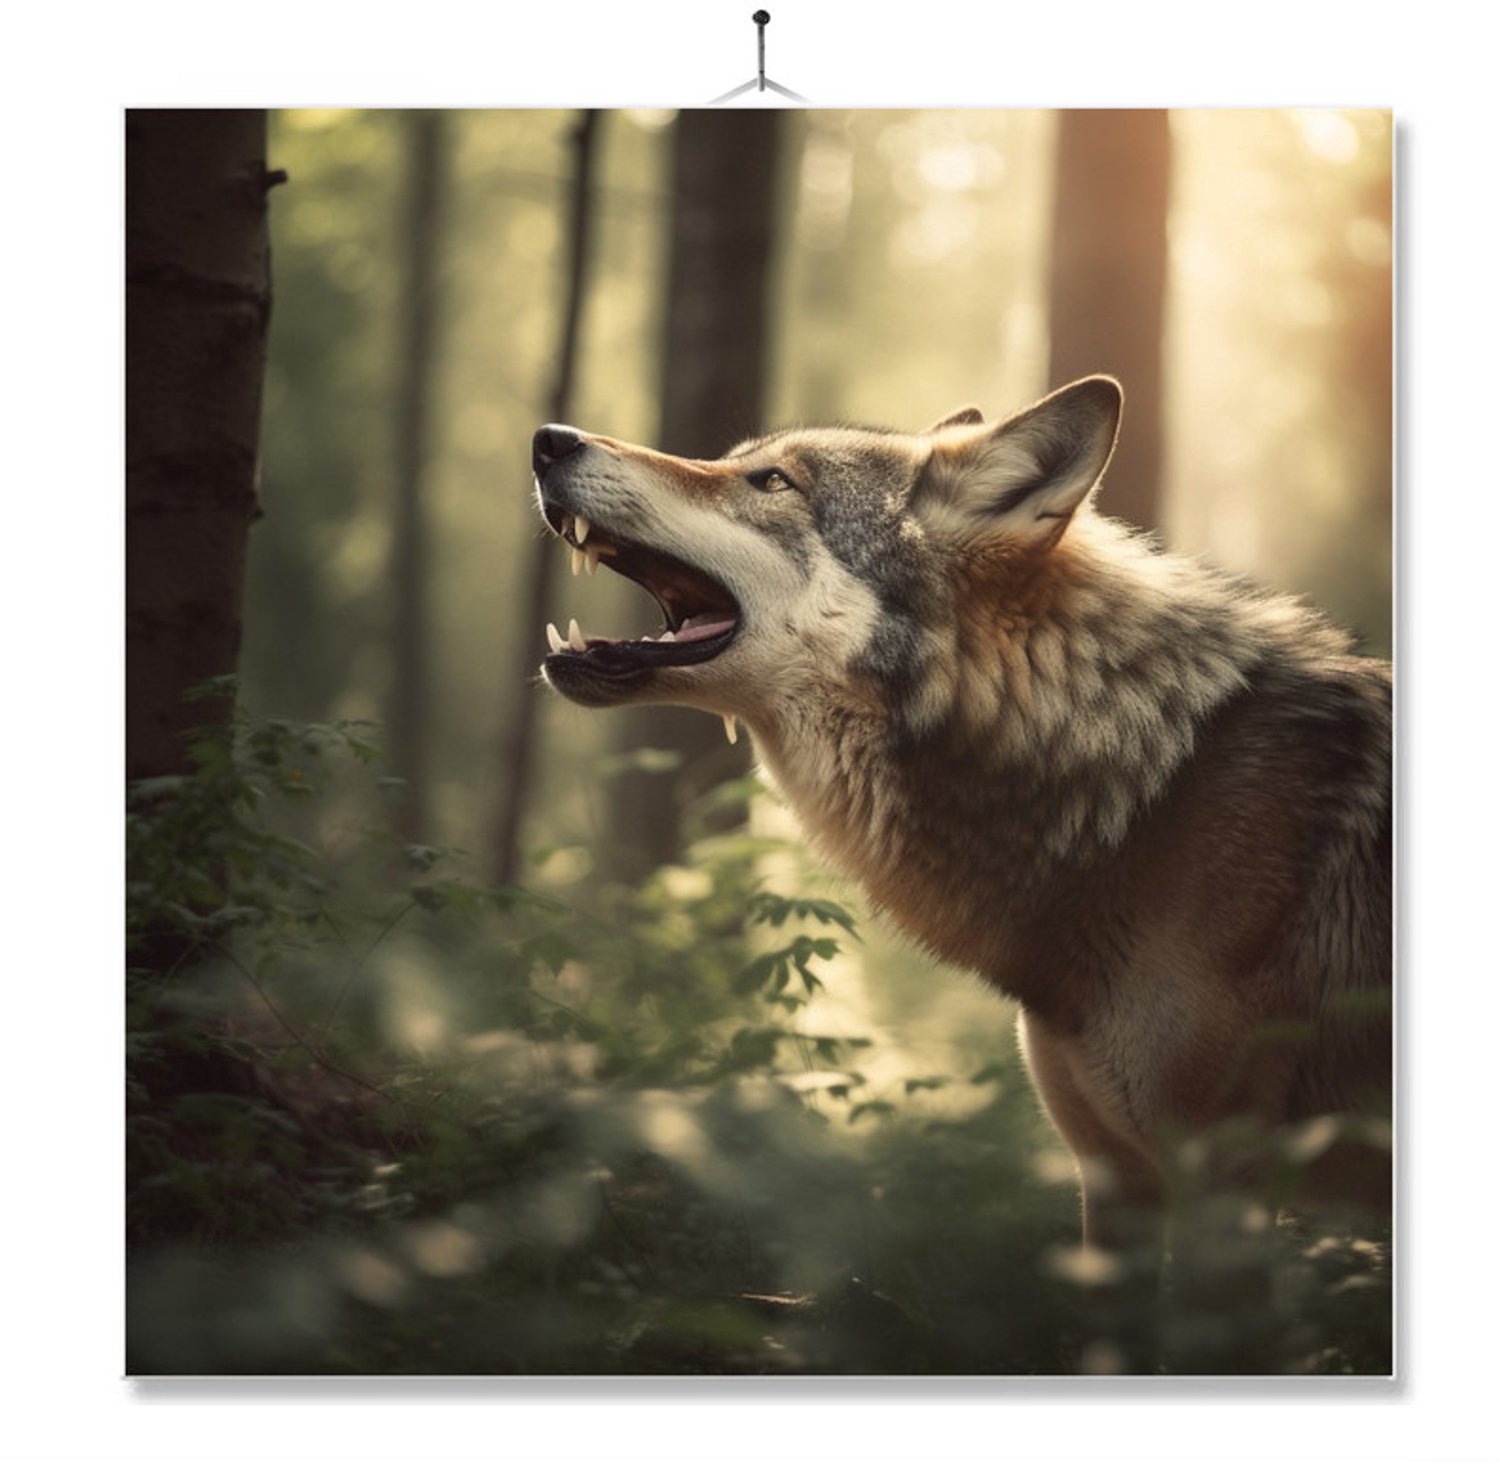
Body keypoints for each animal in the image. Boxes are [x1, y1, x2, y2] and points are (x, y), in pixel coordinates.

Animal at [529, 376, 1392, 1244]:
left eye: (772, 482)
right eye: (740, 464)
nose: (548, 440)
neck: (1148, 782)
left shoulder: (1221, 1191)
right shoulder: (1111, 1176)